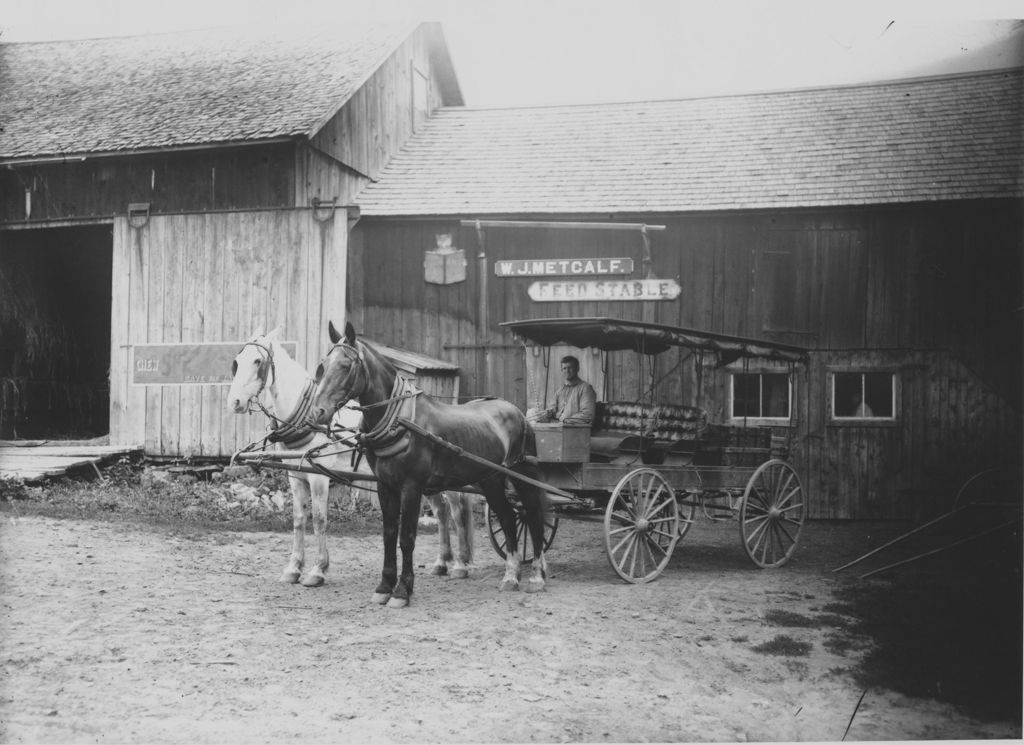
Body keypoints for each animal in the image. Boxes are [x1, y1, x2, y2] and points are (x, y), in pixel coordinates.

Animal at [226, 329, 473, 585]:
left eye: (257, 361)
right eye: (238, 361)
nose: (234, 402)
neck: (306, 421)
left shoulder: (319, 478)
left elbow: (319, 519)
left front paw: (318, 569)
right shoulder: (296, 477)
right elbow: (298, 519)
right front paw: (293, 568)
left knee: (456, 512)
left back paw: (461, 564)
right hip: (425, 481)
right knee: (441, 512)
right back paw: (441, 562)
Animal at [309, 323, 552, 609]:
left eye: (346, 365)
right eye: (323, 365)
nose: (318, 412)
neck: (401, 421)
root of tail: (517, 413)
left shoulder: (411, 487)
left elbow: (406, 538)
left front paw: (402, 590)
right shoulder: (385, 486)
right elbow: (389, 535)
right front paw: (384, 587)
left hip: (523, 475)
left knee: (534, 517)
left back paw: (536, 576)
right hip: (490, 480)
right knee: (507, 518)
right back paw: (511, 576)